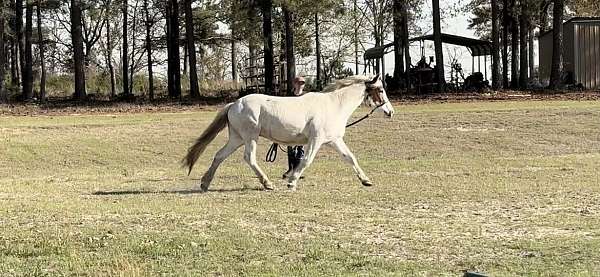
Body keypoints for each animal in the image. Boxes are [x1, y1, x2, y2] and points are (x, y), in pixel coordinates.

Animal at [185, 74, 396, 191]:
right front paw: (292, 182)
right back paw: (267, 183)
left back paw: (205, 183)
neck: (334, 105)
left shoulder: (334, 140)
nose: (391, 112)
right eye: (381, 90)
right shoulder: (316, 140)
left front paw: (366, 180)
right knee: (249, 158)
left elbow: (350, 158)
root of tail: (234, 104)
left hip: (237, 138)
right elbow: (306, 160)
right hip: (250, 137)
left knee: (219, 155)